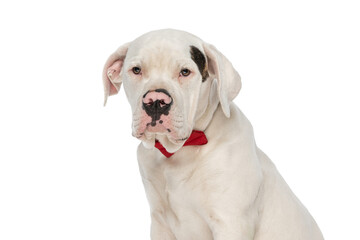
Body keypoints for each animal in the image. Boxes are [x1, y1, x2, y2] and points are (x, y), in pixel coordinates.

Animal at [102, 29, 324, 240]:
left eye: (185, 72)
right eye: (136, 70)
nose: (156, 101)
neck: (182, 150)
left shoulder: (230, 222)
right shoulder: (160, 223)